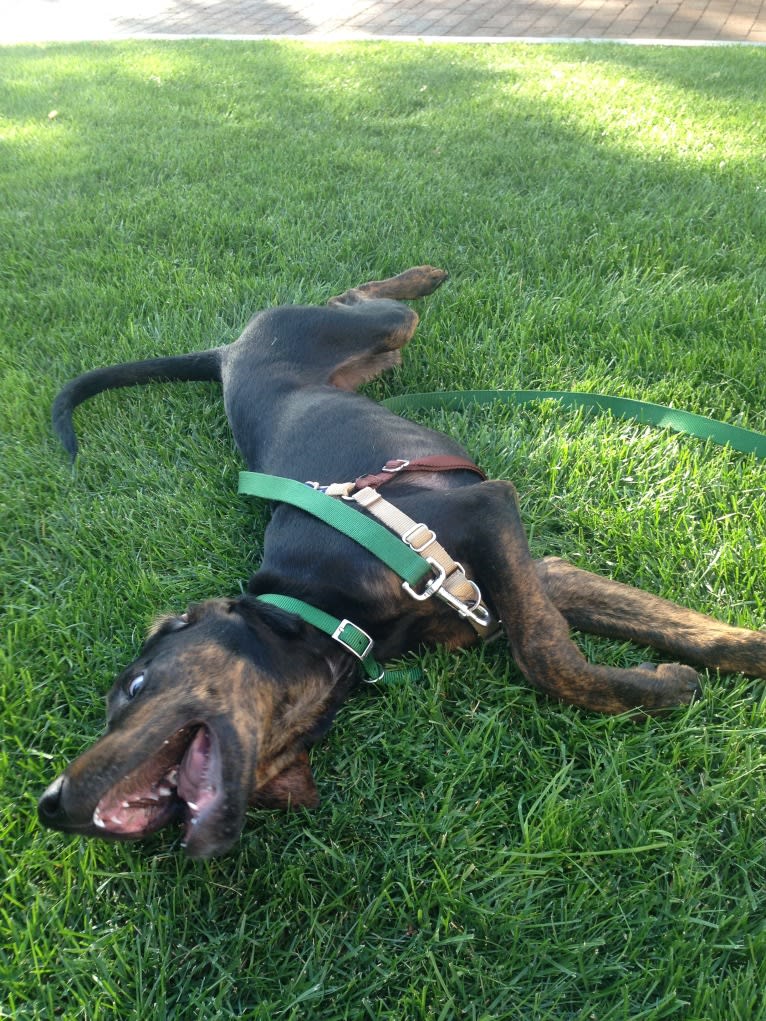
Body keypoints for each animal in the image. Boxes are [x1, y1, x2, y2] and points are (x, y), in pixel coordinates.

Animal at [39, 267, 766, 857]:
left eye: (133, 687)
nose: (50, 805)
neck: (330, 616)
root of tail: (227, 355)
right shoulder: (523, 577)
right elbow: (660, 630)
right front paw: (673, 681)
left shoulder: (486, 509)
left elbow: (546, 653)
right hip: (376, 361)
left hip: (356, 326)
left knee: (358, 298)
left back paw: (423, 276)